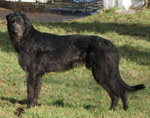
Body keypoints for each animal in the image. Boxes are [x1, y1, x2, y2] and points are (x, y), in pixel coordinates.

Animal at [6, 11, 145, 110]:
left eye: (20, 22)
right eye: (12, 22)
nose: (15, 32)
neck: (27, 37)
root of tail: (112, 45)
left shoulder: (31, 72)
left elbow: (30, 91)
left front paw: (28, 107)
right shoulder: (38, 74)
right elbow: (36, 91)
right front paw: (34, 106)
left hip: (104, 73)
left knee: (121, 91)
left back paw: (124, 109)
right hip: (101, 74)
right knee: (114, 94)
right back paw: (110, 110)